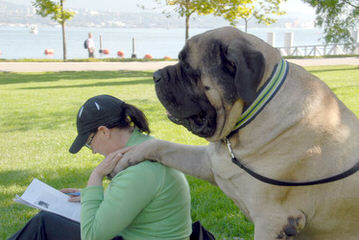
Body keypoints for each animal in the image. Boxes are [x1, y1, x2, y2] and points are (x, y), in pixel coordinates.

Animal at [114, 27, 359, 239]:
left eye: (187, 67)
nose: (156, 75)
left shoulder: (271, 220)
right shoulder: (210, 165)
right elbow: (163, 146)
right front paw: (127, 156)